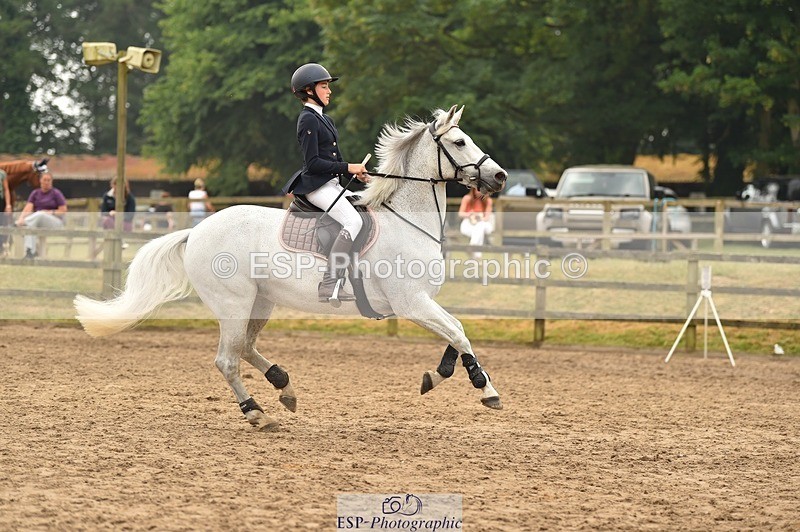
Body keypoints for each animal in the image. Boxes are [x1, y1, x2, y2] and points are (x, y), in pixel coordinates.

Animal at [74, 105, 508, 431]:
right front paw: (486, 389)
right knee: (227, 359)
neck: (407, 220)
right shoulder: (411, 303)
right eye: (459, 142)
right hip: (233, 303)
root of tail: (197, 230)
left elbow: (455, 336)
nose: (500, 175)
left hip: (260, 302)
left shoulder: (422, 302)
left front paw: (438, 376)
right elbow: (459, 333)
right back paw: (256, 413)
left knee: (245, 347)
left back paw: (283, 386)